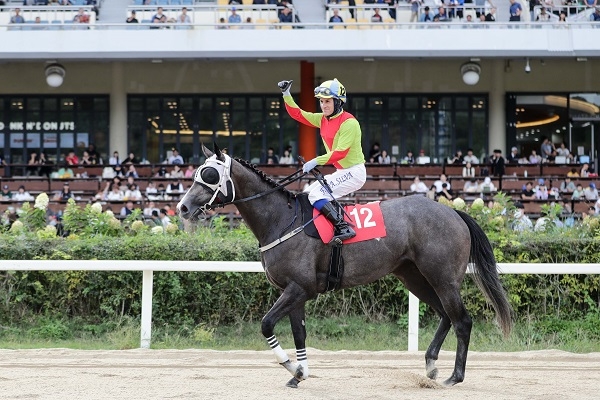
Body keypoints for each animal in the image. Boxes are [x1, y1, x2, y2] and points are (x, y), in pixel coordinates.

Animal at [176, 144, 512, 388]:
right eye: (197, 174)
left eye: (209, 175)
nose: (182, 207)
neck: (281, 220)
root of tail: (454, 212)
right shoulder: (296, 291)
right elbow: (299, 333)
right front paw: (298, 373)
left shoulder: (298, 289)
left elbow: (267, 324)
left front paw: (290, 366)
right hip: (414, 277)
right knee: (445, 315)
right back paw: (429, 365)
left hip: (443, 278)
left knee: (462, 321)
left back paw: (455, 377)